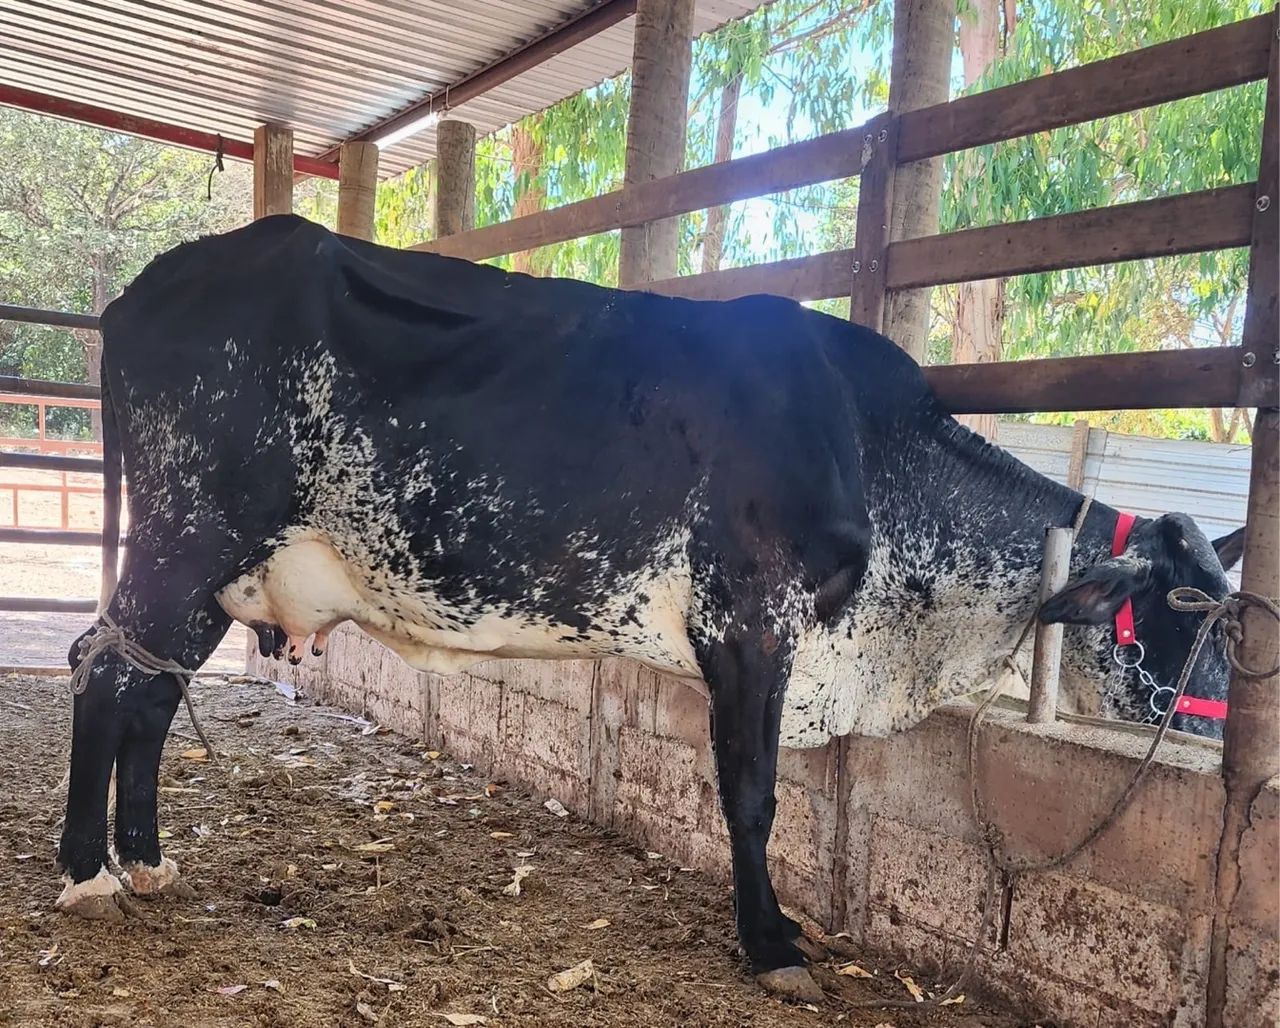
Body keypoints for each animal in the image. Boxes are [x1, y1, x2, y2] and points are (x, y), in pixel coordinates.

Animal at [57, 215, 1244, 1002]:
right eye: (1184, 616)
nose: (1213, 724)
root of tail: (138, 292)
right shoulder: (749, 621)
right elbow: (753, 795)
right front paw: (773, 945)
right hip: (186, 535)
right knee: (103, 673)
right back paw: (83, 874)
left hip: (213, 571)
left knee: (149, 694)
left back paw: (147, 860)